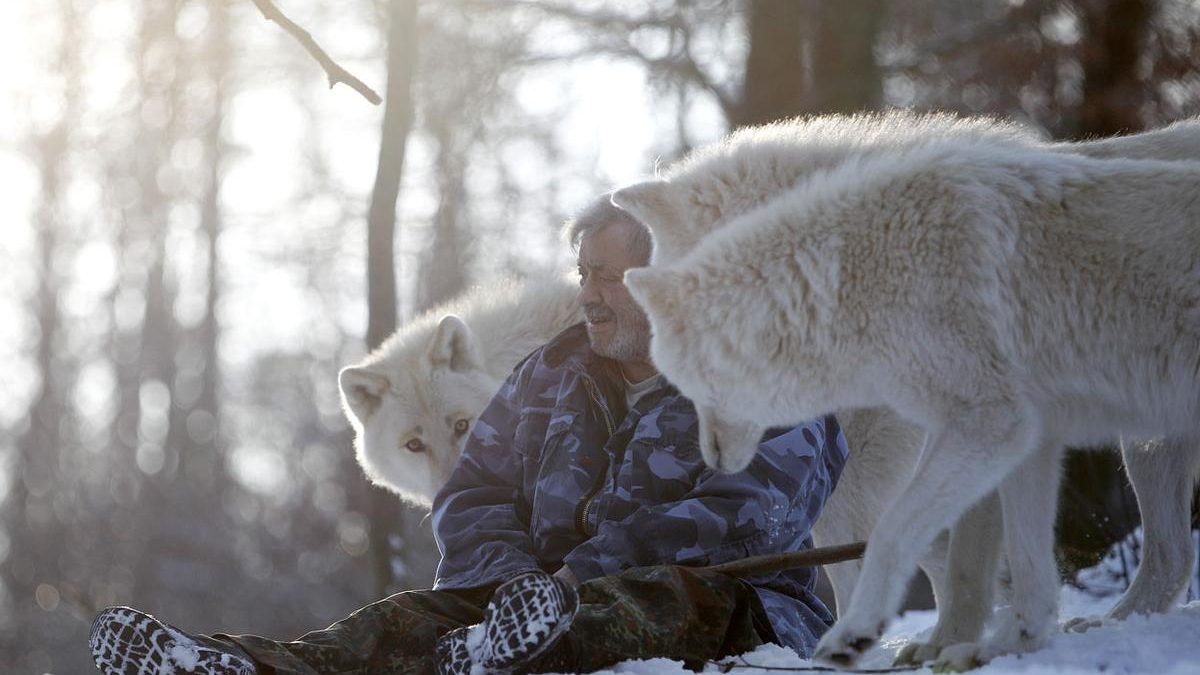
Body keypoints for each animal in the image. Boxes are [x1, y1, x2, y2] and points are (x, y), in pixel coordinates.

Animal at [619, 114, 1200, 662]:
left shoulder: (930, 441)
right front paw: (949, 638)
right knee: (1173, 556)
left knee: (1169, 554)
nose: (653, 397)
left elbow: (918, 547)